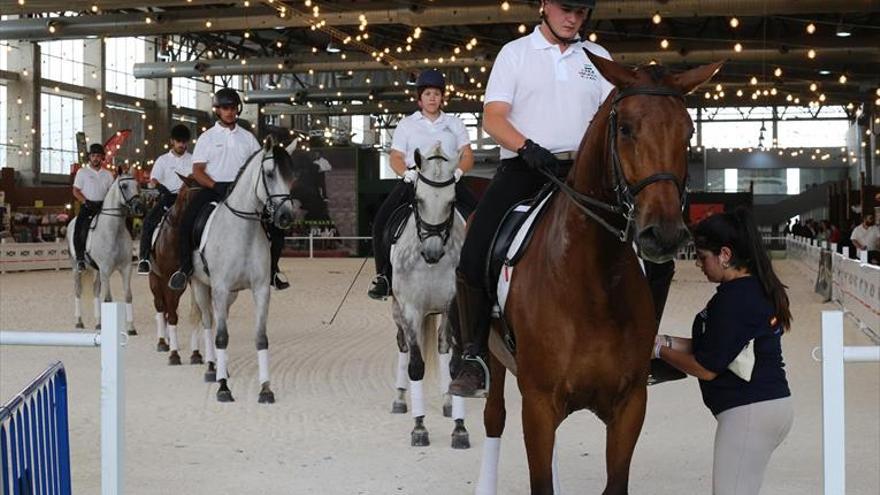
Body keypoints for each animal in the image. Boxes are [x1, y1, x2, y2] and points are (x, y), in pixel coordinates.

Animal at [66, 174, 144, 334]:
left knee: (95, 291)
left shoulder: (126, 268)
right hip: (76, 268)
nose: (139, 207)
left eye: (138, 185)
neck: (114, 231)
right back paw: (79, 322)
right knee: (78, 291)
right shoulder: (106, 270)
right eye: (124, 186)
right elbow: (108, 299)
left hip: (97, 270)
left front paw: (131, 328)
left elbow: (128, 296)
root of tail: (72, 221)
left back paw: (98, 323)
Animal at [148, 178, 217, 380]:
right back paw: (163, 342)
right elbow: (172, 315)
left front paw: (196, 354)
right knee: (160, 306)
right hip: (155, 279)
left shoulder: (191, 280)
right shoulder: (169, 281)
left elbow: (195, 315)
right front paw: (174, 355)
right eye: (187, 197)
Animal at [189, 138, 300, 404]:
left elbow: (260, 337)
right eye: (269, 174)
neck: (241, 232)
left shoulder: (260, 290)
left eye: (292, 177)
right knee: (208, 322)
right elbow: (221, 336)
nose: (286, 216)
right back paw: (212, 368)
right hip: (201, 286)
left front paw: (266, 389)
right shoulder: (219, 288)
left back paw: (223, 368)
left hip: (231, 295)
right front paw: (223, 388)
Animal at [390, 142, 470, 450]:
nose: (433, 252)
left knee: (443, 349)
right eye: (419, 199)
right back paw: (400, 399)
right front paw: (419, 427)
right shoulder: (411, 310)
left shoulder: (451, 307)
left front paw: (459, 428)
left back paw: (447, 402)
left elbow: (455, 363)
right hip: (397, 310)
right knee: (402, 345)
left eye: (451, 201)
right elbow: (416, 365)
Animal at [482, 54, 720, 495]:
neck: (592, 282)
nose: (663, 233)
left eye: (689, 131)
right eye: (625, 128)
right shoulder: (538, 406)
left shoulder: (629, 406)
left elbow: (615, 482)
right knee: (493, 417)